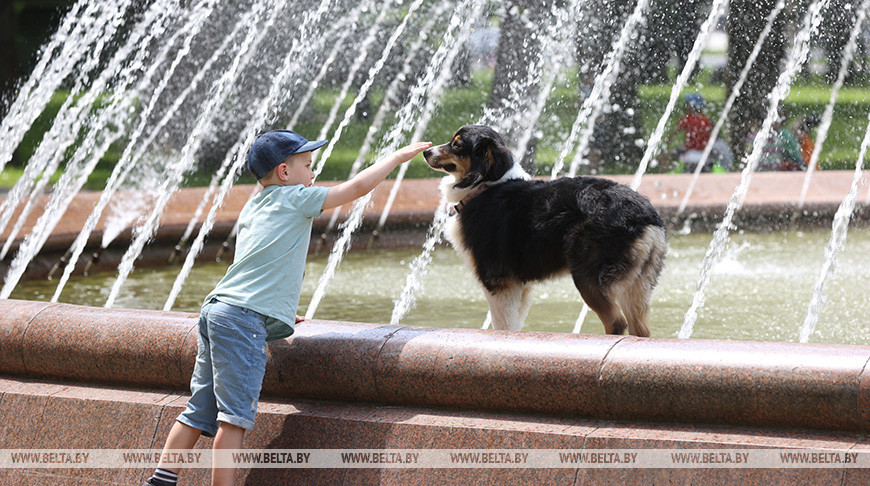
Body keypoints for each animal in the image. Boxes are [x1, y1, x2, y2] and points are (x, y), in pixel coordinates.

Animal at [426, 127, 672, 336]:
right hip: (637, 284)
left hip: (587, 274)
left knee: (616, 322)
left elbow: (503, 326)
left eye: (457, 145)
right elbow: (515, 324)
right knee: (640, 330)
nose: (426, 151)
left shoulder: (498, 282)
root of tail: (646, 214)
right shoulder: (520, 286)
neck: (485, 186)